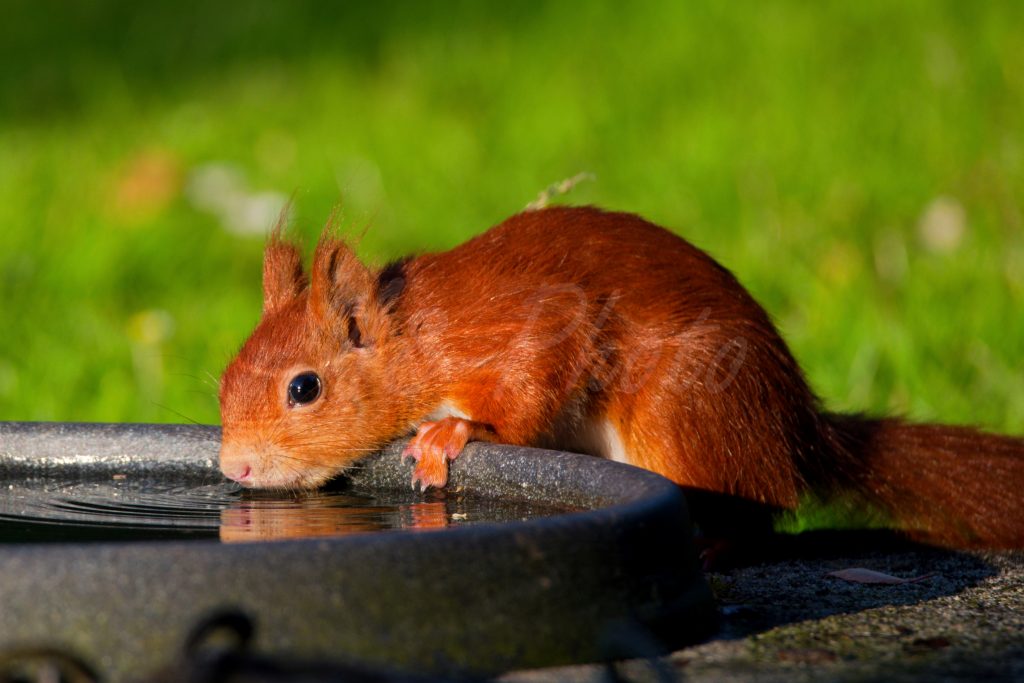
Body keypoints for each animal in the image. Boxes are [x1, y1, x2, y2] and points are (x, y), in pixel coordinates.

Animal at [219, 206, 1024, 550]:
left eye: (304, 388)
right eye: (225, 379)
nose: (235, 467)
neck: (415, 335)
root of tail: (795, 428)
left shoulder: (527, 327)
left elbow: (529, 384)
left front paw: (454, 431)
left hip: (686, 404)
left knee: (748, 515)